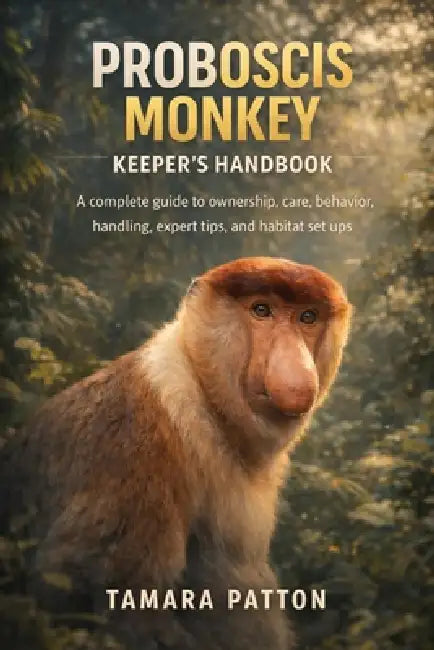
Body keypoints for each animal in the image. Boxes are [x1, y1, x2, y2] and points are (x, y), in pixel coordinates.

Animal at [3, 256, 351, 649]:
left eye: (308, 316)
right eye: (262, 309)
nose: (295, 372)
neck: (204, 392)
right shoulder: (137, 445)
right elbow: (87, 584)